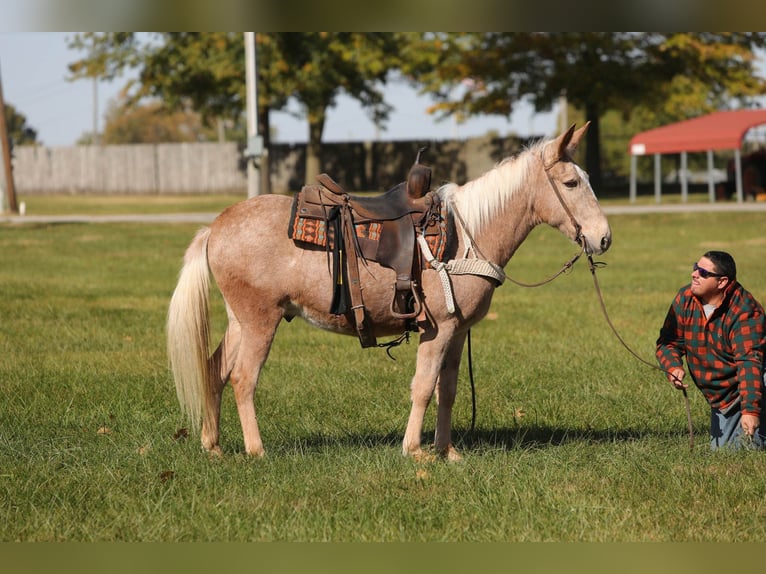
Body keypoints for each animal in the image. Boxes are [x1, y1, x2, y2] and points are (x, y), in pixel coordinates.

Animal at [166, 122, 612, 464]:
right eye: (571, 182)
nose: (603, 238)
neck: (468, 237)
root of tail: (215, 228)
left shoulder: (458, 331)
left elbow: (447, 390)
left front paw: (447, 452)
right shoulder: (438, 328)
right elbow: (423, 386)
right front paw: (414, 450)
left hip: (239, 321)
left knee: (215, 370)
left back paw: (214, 446)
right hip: (261, 320)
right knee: (243, 378)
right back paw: (256, 450)